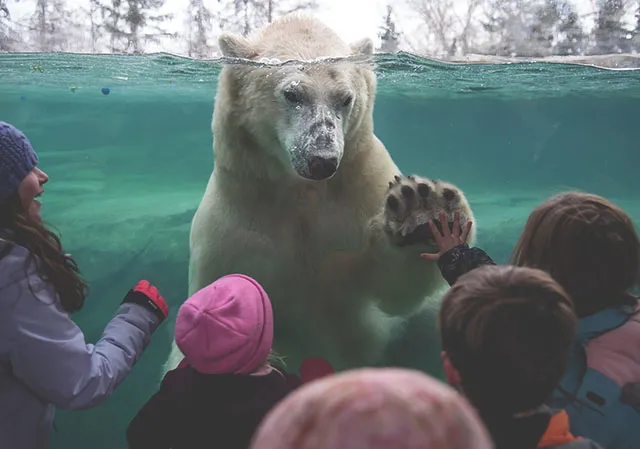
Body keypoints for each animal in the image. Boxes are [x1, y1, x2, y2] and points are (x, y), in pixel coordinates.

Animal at [165, 13, 476, 372]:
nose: (322, 160)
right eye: (292, 94)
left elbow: (392, 290)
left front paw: (422, 211)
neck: (301, 193)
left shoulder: (360, 192)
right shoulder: (235, 228)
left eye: (345, 98)